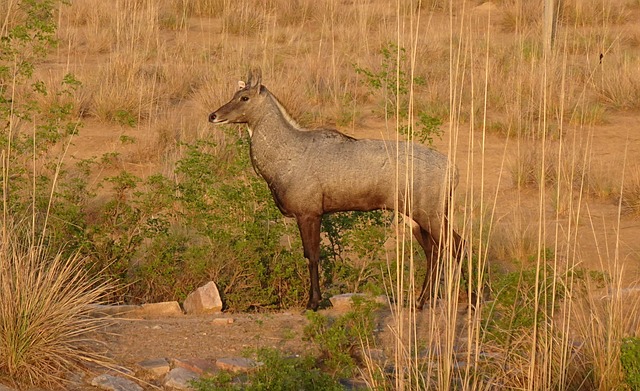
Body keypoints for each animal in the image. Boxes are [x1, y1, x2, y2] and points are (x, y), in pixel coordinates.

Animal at [210, 69, 464, 310]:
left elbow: (312, 256)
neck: (287, 152)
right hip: (416, 218)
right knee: (434, 252)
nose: (213, 115)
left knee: (457, 245)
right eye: (234, 94)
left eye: (244, 97)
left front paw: (313, 303)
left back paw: (467, 299)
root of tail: (453, 170)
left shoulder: (309, 213)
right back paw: (420, 302)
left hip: (431, 214)